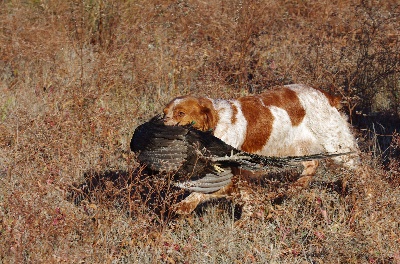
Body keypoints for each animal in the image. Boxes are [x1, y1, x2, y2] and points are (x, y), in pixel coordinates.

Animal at [162, 85, 360, 217]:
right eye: (164, 113)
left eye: (181, 113)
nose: (161, 127)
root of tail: (327, 96)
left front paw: (183, 206)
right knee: (312, 165)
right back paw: (294, 188)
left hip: (338, 147)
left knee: (359, 172)